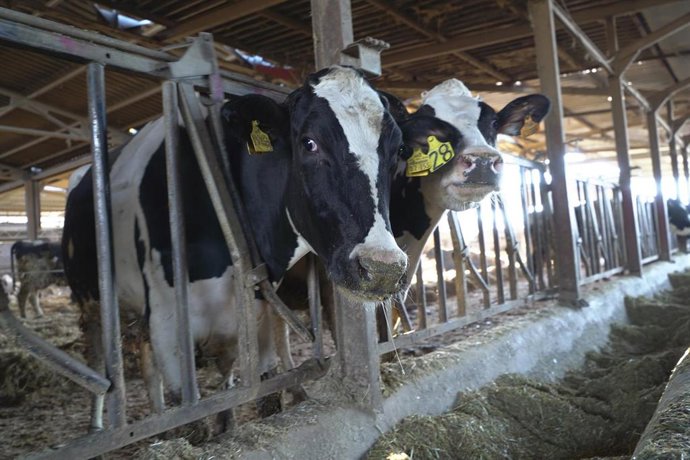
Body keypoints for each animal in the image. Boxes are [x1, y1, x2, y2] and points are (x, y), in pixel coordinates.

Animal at [62, 66, 410, 430]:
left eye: (397, 151)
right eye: (309, 143)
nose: (383, 269)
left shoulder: (256, 313)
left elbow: (252, 387)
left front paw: (228, 423)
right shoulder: (168, 326)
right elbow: (191, 417)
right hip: (91, 298)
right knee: (100, 357)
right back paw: (99, 424)